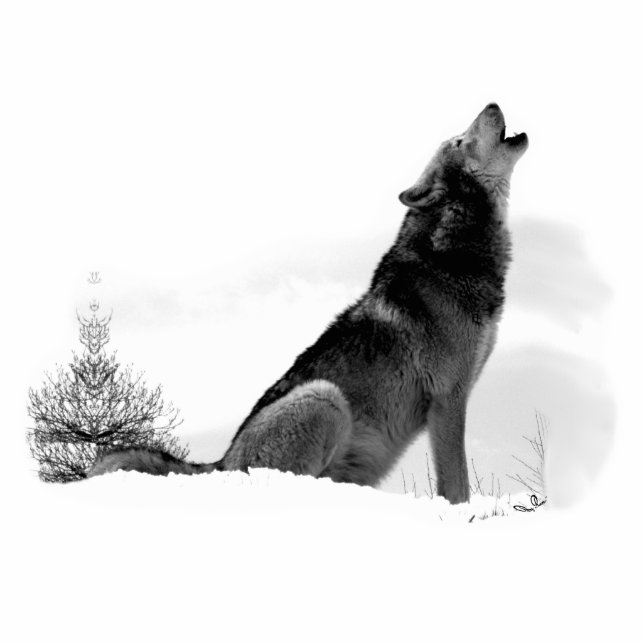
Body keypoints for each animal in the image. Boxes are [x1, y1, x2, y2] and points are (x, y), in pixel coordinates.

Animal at [88, 103, 528, 504]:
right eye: (459, 141)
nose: (491, 103)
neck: (451, 251)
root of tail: (220, 463)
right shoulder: (448, 399)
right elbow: (458, 487)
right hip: (324, 397)